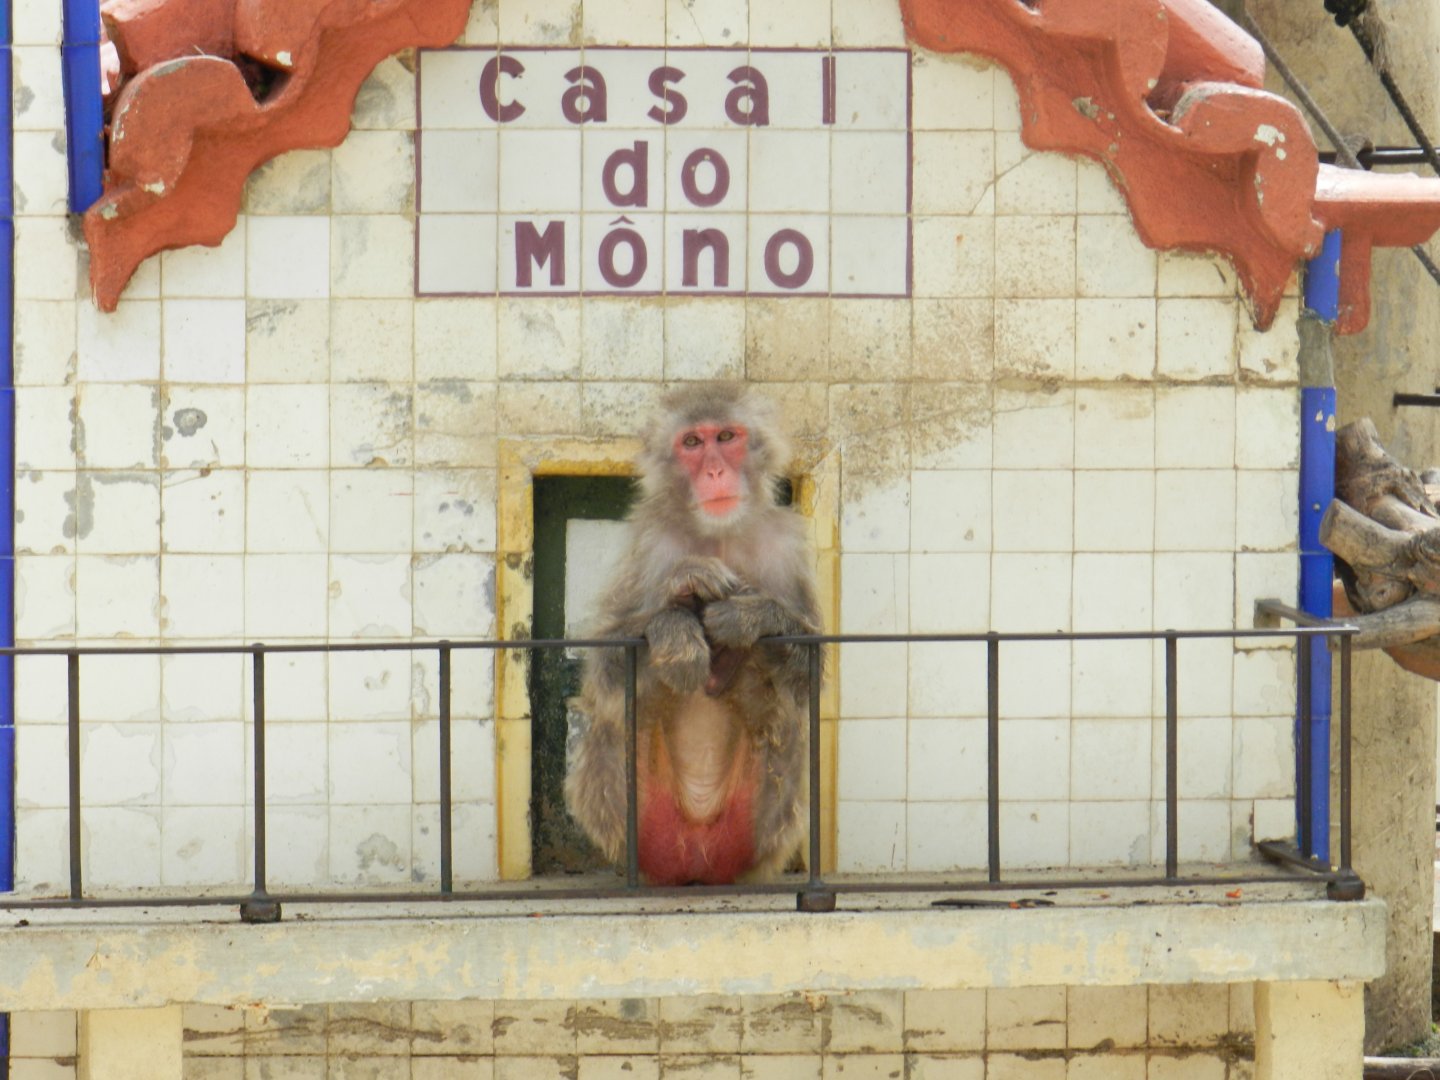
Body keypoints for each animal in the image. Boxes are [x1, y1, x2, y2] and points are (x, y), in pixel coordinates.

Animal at [564, 383, 823, 885]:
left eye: (725, 436)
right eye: (691, 443)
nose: (715, 470)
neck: (718, 534)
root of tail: (697, 863)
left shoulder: (785, 547)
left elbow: (811, 680)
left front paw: (751, 616)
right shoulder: (650, 545)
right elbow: (605, 669)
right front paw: (679, 606)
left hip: (762, 828)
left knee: (783, 718)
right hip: (627, 817)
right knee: (616, 716)